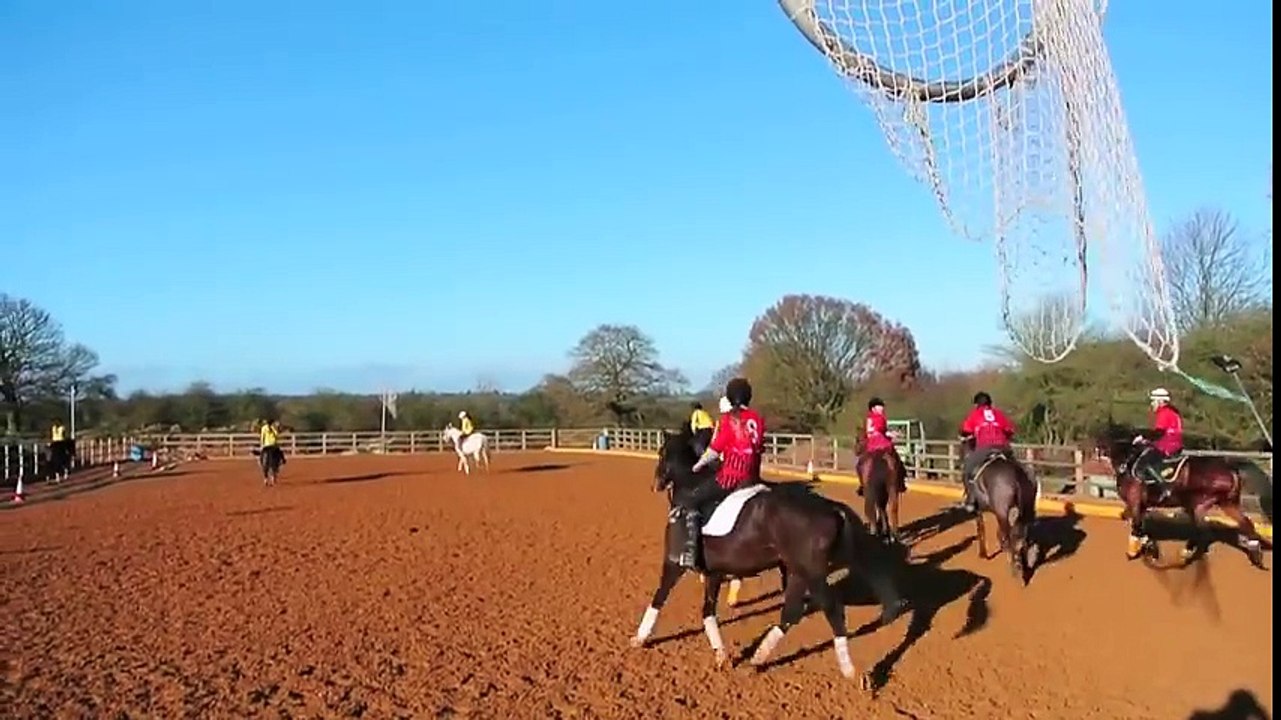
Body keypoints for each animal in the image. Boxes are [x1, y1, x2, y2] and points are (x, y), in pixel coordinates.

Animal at [629, 424, 907, 687]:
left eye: (662, 453)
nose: (655, 484)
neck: (691, 488)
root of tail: (831, 508)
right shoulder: (714, 573)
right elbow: (708, 612)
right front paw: (721, 655)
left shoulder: (674, 563)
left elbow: (659, 598)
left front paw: (639, 638)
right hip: (796, 571)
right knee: (791, 613)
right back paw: (758, 658)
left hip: (811, 573)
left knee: (832, 610)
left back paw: (850, 671)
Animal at [961, 439, 1038, 579]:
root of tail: (1016, 475)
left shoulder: (979, 510)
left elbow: (981, 529)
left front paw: (983, 553)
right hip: (1023, 509)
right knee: (1020, 536)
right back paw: (1023, 565)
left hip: (1002, 511)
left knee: (1009, 537)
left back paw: (1015, 567)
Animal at [1097, 427, 1267, 569]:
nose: (1097, 452)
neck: (1129, 461)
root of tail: (1229, 468)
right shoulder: (1140, 505)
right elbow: (1136, 523)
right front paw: (1149, 546)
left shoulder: (1135, 502)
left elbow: (1136, 525)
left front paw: (1135, 551)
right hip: (1227, 503)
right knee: (1245, 524)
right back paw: (1255, 554)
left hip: (1199, 505)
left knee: (1204, 534)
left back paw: (1185, 558)